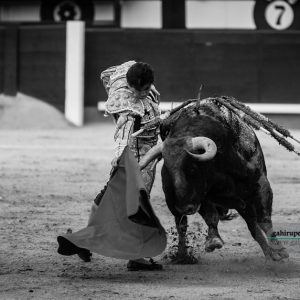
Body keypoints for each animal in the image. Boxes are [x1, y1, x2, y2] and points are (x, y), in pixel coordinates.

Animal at [140, 99, 288, 262]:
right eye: (168, 170)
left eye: (192, 168)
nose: (184, 208)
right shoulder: (202, 197)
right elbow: (211, 217)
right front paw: (213, 241)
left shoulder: (260, 184)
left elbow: (264, 220)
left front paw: (280, 251)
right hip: (174, 202)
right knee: (182, 225)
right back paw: (182, 256)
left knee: (253, 225)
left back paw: (270, 254)